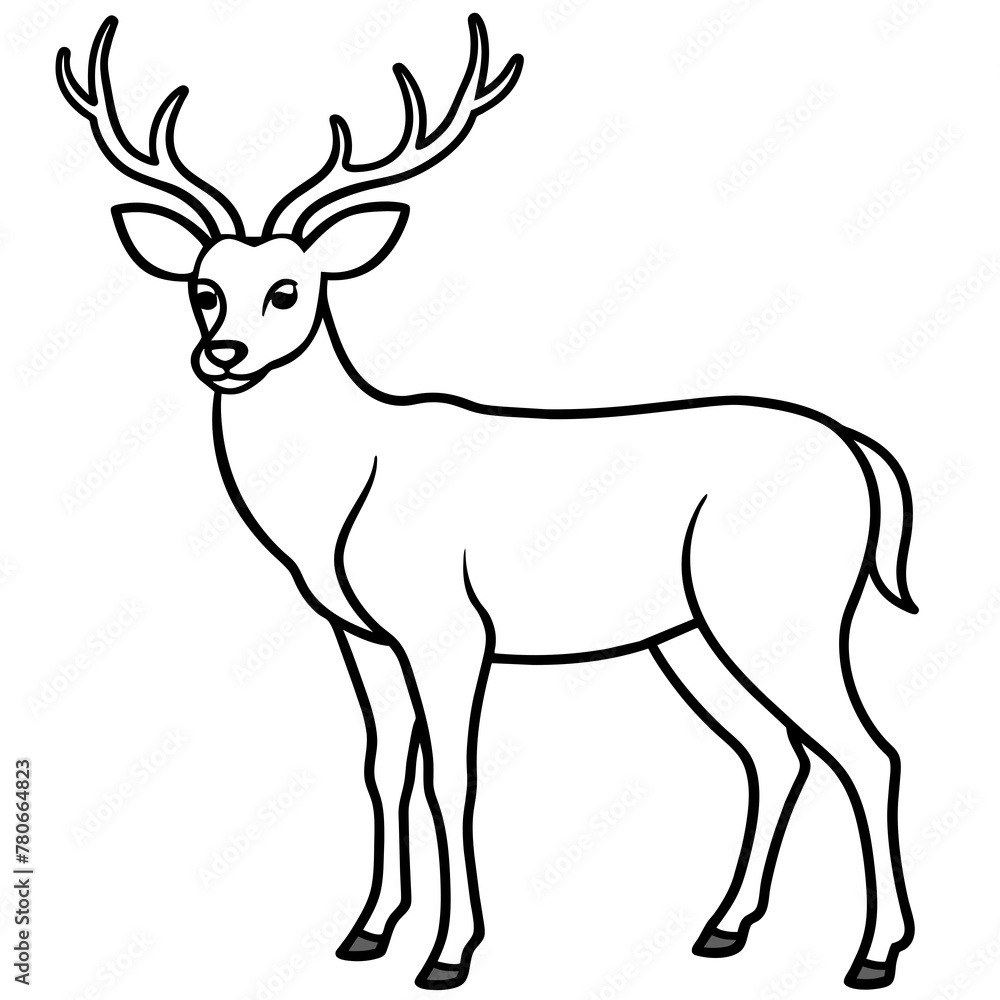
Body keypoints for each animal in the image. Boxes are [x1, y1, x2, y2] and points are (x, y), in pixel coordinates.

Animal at [58, 14, 917, 991]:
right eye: (203, 287)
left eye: (289, 289)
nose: (224, 354)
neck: (344, 498)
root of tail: (861, 453)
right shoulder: (362, 634)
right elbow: (383, 768)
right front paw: (366, 932)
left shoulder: (451, 626)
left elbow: (453, 778)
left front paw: (448, 954)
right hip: (690, 634)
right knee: (774, 754)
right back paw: (723, 928)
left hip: (782, 607)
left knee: (868, 751)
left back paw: (874, 955)